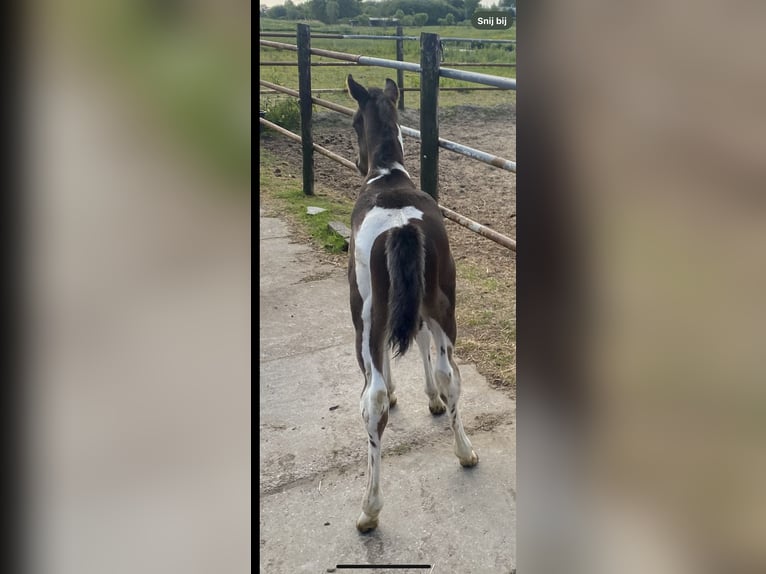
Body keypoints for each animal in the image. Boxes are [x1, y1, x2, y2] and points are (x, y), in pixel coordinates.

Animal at [348, 76, 480, 536]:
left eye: (354, 123)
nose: (359, 162)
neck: (388, 179)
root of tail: (402, 226)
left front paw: (400, 395)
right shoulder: (422, 305)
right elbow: (424, 348)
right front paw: (433, 401)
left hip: (367, 315)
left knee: (371, 398)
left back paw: (369, 510)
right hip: (444, 305)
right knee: (450, 373)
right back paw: (465, 452)